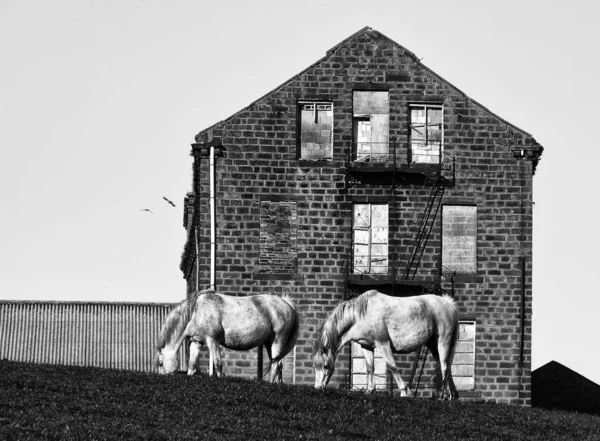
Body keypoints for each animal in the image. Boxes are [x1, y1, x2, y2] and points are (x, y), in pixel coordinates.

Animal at [157, 288, 300, 382]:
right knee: (278, 365)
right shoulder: (197, 342)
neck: (196, 311)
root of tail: (287, 304)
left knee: (276, 365)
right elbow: (191, 366)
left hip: (278, 341)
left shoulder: (213, 340)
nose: (163, 378)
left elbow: (218, 365)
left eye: (160, 363)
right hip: (269, 343)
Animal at [314, 288, 460, 398]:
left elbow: (392, 367)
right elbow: (370, 368)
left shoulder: (383, 344)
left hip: (443, 342)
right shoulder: (366, 346)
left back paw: (444, 396)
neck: (361, 315)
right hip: (432, 345)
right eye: (315, 366)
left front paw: (404, 391)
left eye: (325, 366)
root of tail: (448, 303)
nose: (318, 388)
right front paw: (370, 390)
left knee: (444, 366)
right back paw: (452, 395)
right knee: (446, 366)